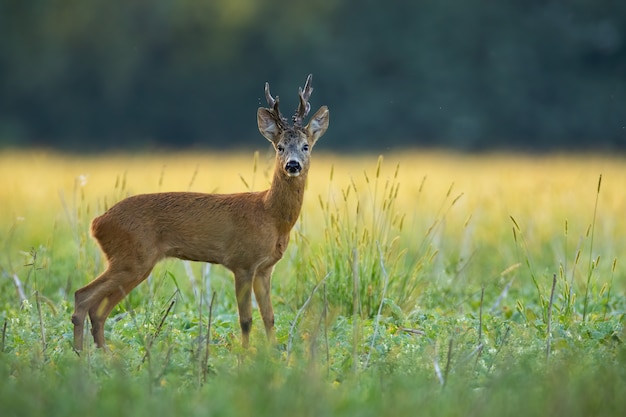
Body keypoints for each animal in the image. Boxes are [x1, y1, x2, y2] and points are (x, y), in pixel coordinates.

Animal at [71, 74, 330, 348]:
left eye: (306, 146)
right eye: (279, 146)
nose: (292, 165)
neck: (270, 215)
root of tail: (96, 223)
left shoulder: (265, 268)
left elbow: (269, 318)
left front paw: (273, 354)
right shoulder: (242, 262)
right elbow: (246, 320)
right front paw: (246, 355)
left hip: (131, 262)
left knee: (97, 309)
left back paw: (101, 354)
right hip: (132, 258)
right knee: (83, 297)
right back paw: (82, 353)